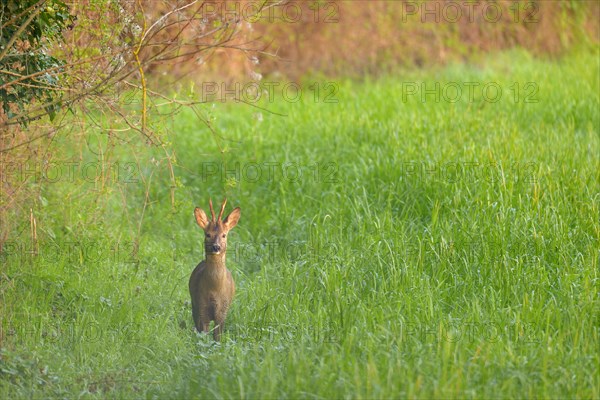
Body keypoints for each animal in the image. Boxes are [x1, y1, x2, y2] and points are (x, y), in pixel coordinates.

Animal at [190, 197, 241, 340]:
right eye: (208, 234)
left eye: (224, 235)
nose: (216, 247)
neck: (214, 289)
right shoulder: (201, 305)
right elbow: (204, 334)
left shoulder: (223, 310)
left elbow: (217, 337)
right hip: (193, 303)